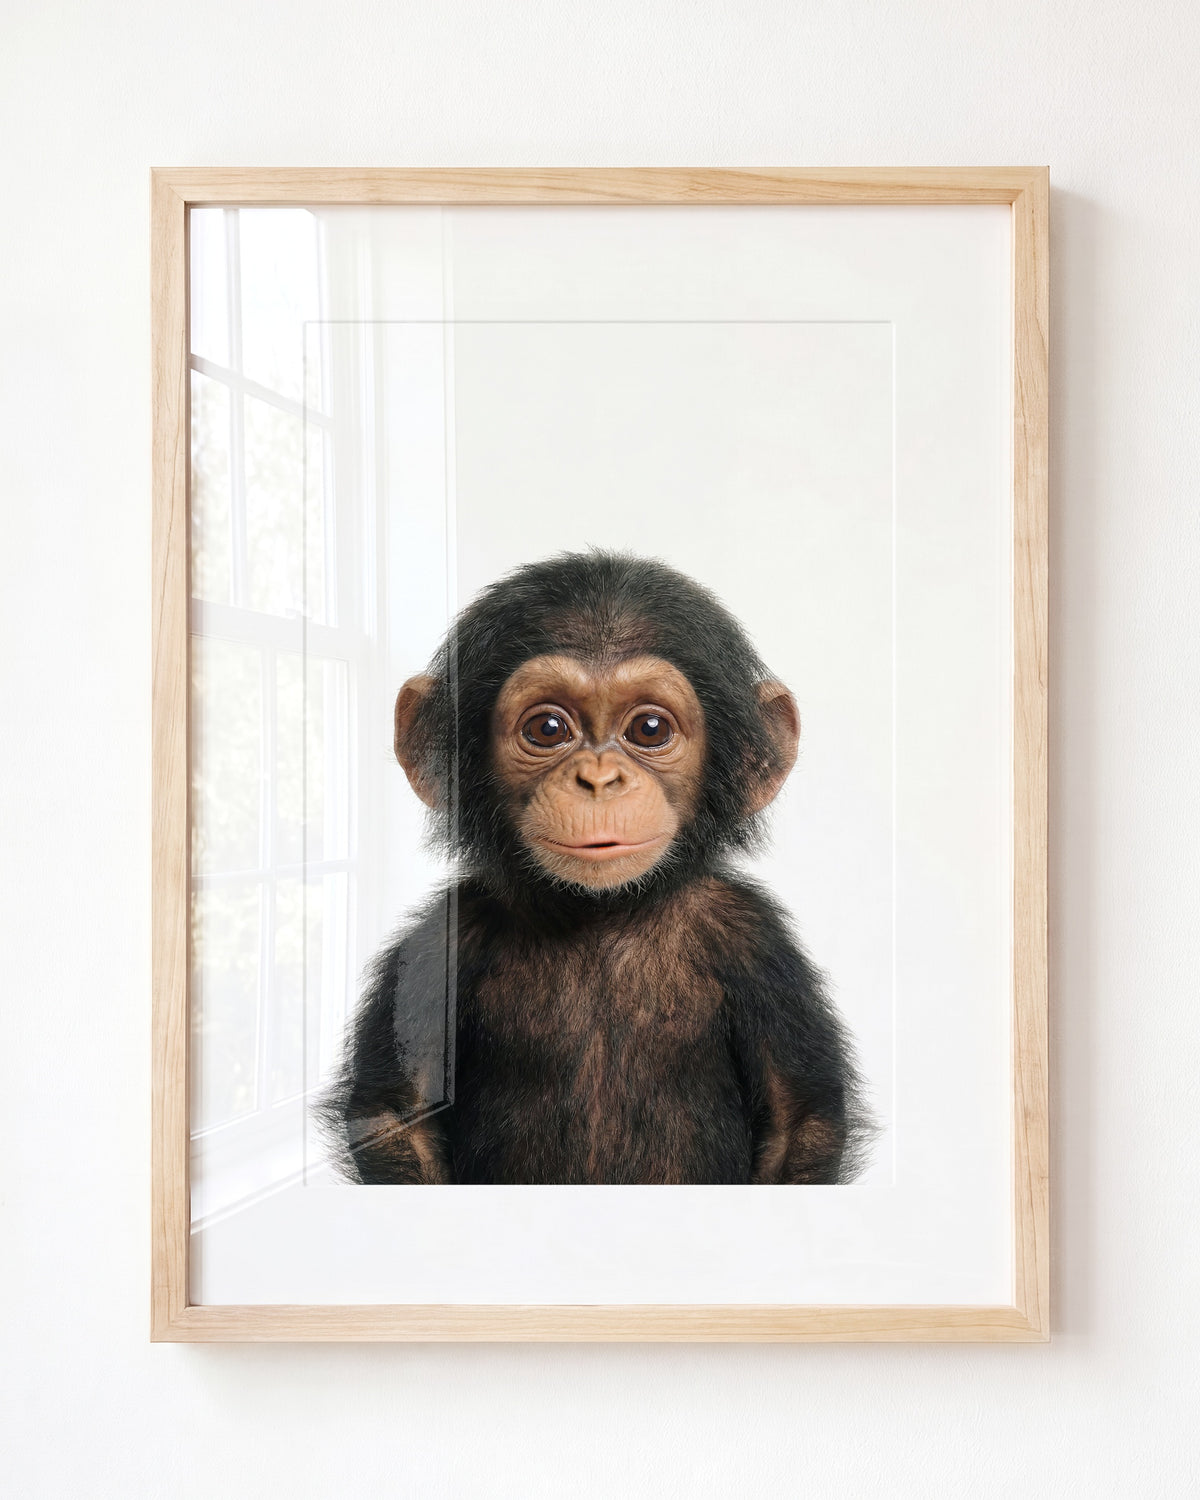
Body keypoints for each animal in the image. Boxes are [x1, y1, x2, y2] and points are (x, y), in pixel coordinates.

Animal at [320, 551, 872, 1185]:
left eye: (649, 729)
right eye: (547, 729)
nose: (600, 779)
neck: (601, 914)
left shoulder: (755, 940)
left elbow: (798, 1119)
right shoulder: (441, 941)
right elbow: (397, 1114)